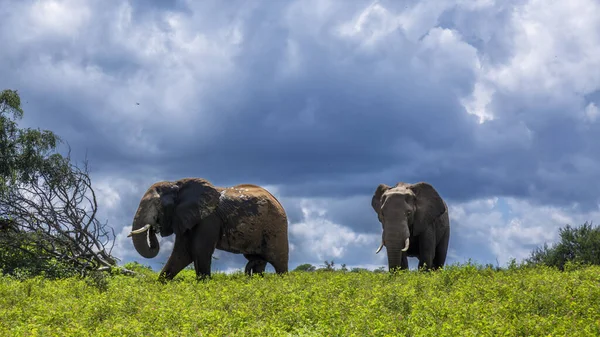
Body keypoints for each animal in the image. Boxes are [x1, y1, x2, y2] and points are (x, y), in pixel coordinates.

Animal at [126, 177, 288, 280]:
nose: (153, 228)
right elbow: (182, 253)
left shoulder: (208, 219)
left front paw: (204, 285)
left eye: (157, 205)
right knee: (258, 261)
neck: (177, 184)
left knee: (279, 262)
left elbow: (199, 250)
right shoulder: (186, 217)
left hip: (276, 226)